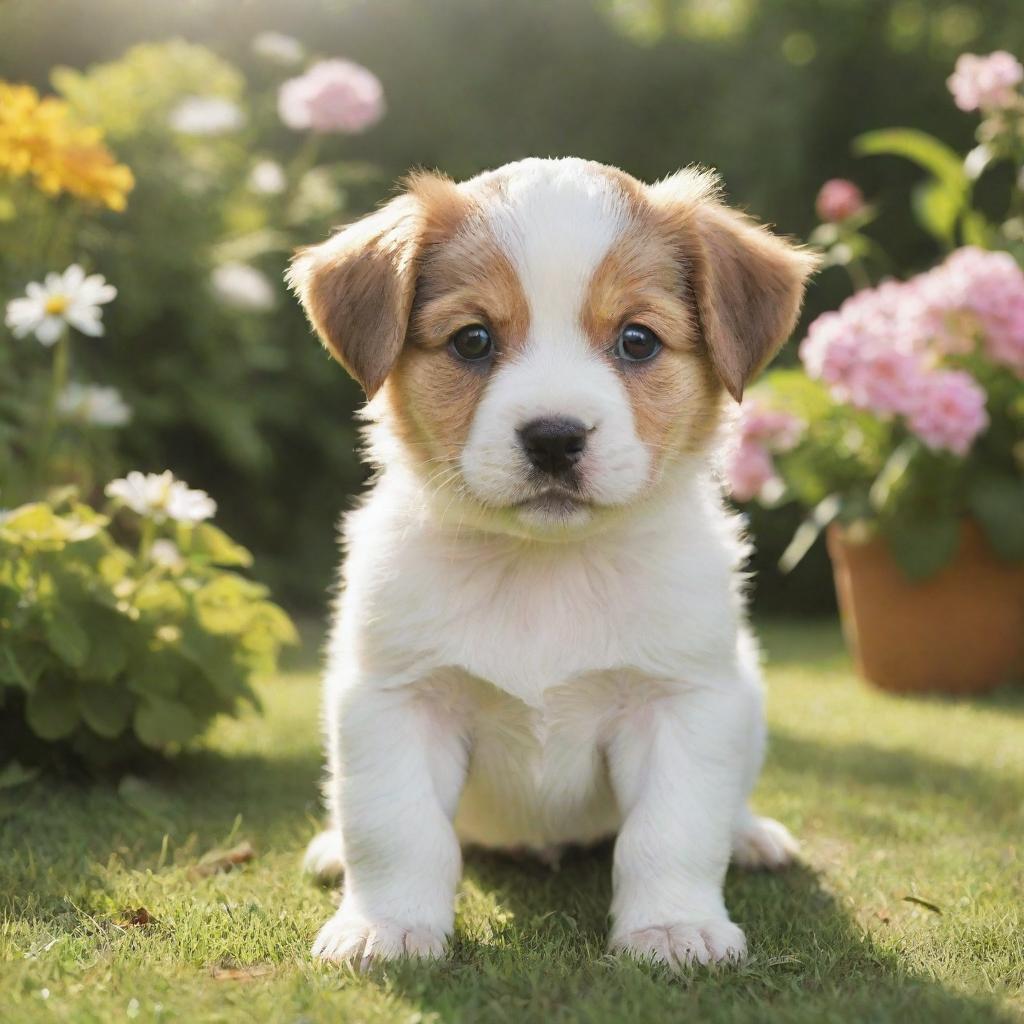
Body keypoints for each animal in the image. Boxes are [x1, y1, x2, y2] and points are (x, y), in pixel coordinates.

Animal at [288, 157, 815, 966]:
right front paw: (387, 925)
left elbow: (672, 832)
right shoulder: (396, 701)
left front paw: (673, 926)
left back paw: (751, 835)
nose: (554, 437)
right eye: (473, 340)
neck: (546, 569)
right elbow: (396, 829)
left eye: (637, 340)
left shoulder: (681, 704)